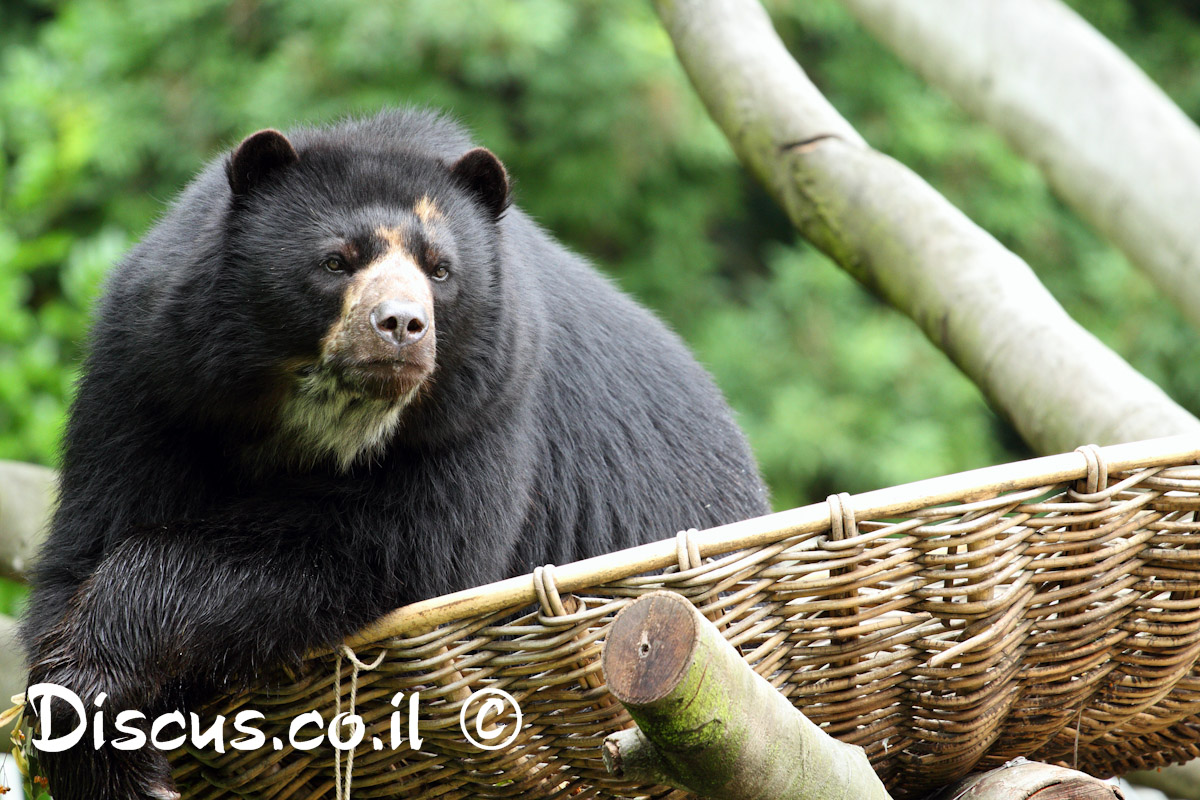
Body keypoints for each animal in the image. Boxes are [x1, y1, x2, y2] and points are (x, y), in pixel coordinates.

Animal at [21, 107, 768, 800]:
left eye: (440, 271)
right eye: (336, 260)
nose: (402, 326)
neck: (322, 415)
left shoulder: (482, 407)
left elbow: (386, 546)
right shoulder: (151, 376)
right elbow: (90, 538)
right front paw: (105, 747)